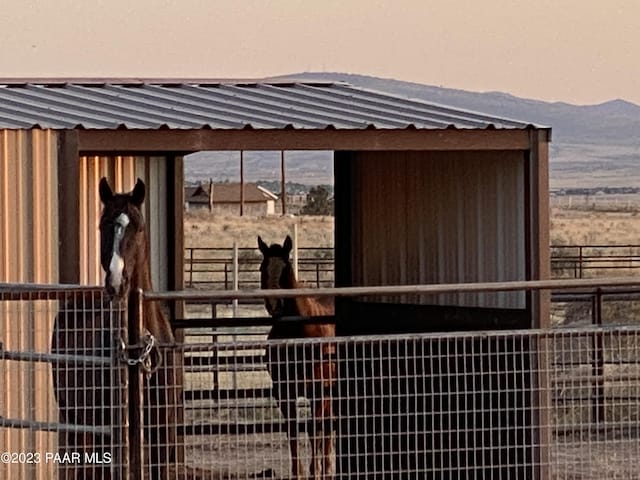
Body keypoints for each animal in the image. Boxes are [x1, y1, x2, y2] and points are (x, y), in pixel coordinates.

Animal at [258, 236, 338, 480]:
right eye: (262, 268)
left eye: (286, 269)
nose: (274, 305)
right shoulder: (284, 392)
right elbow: (292, 430)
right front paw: (298, 473)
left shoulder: (319, 391)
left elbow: (314, 429)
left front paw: (315, 472)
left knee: (326, 427)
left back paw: (328, 469)